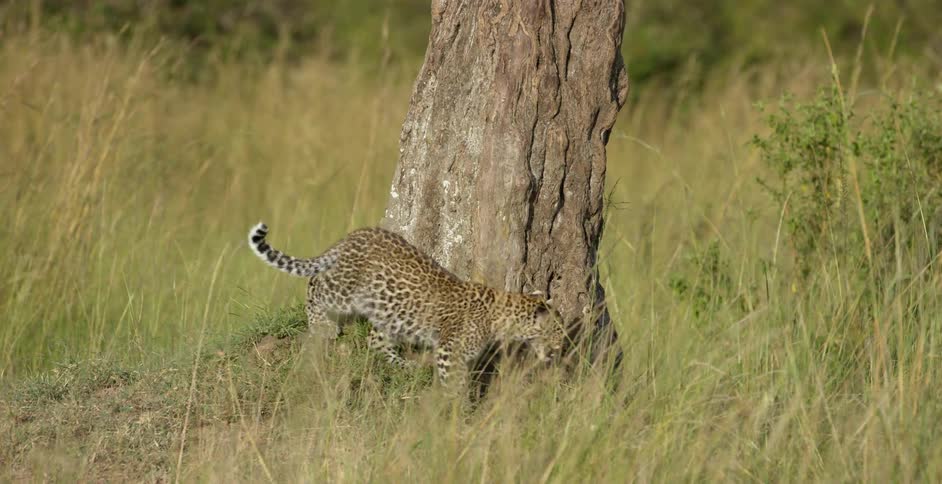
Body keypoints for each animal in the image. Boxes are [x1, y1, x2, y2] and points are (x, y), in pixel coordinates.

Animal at [247, 222, 565, 389]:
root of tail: (353, 236)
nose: (561, 349)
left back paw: (406, 365)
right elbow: (454, 383)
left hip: (388, 309)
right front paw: (457, 411)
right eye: (557, 332)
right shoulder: (449, 350)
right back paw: (322, 325)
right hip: (344, 289)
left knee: (375, 340)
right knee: (315, 284)